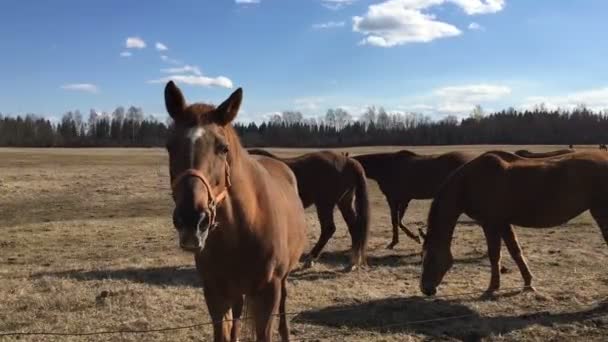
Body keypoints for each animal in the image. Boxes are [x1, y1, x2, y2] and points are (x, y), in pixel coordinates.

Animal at [165, 81, 306, 342]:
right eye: (170, 147)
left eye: (223, 148)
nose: (191, 220)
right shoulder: (215, 292)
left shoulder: (268, 292)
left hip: (281, 281)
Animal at [420, 150, 608, 296]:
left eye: (430, 257)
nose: (425, 289)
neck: (468, 183)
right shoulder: (503, 223)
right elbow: (515, 251)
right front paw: (528, 283)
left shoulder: (490, 224)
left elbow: (494, 254)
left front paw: (492, 287)